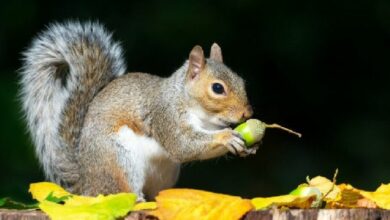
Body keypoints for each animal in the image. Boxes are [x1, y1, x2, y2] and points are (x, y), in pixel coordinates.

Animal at [19, 21, 254, 200]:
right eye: (217, 88)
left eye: (241, 80)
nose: (247, 114)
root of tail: (86, 186)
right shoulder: (166, 115)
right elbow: (182, 145)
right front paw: (226, 137)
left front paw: (249, 146)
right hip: (120, 161)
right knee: (121, 192)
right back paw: (137, 200)